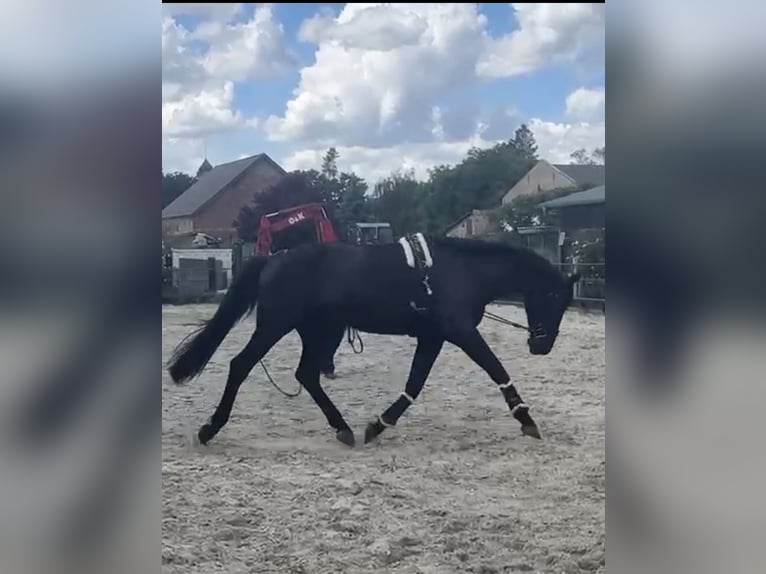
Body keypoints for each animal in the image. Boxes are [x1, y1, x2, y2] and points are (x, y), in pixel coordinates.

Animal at [167, 234, 580, 447]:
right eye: (553, 298)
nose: (541, 345)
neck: (462, 271)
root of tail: (273, 259)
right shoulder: (461, 333)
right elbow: (497, 370)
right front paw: (527, 419)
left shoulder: (433, 337)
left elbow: (414, 384)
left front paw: (378, 424)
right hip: (277, 326)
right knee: (241, 365)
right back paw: (210, 428)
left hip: (322, 331)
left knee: (307, 375)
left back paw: (343, 428)